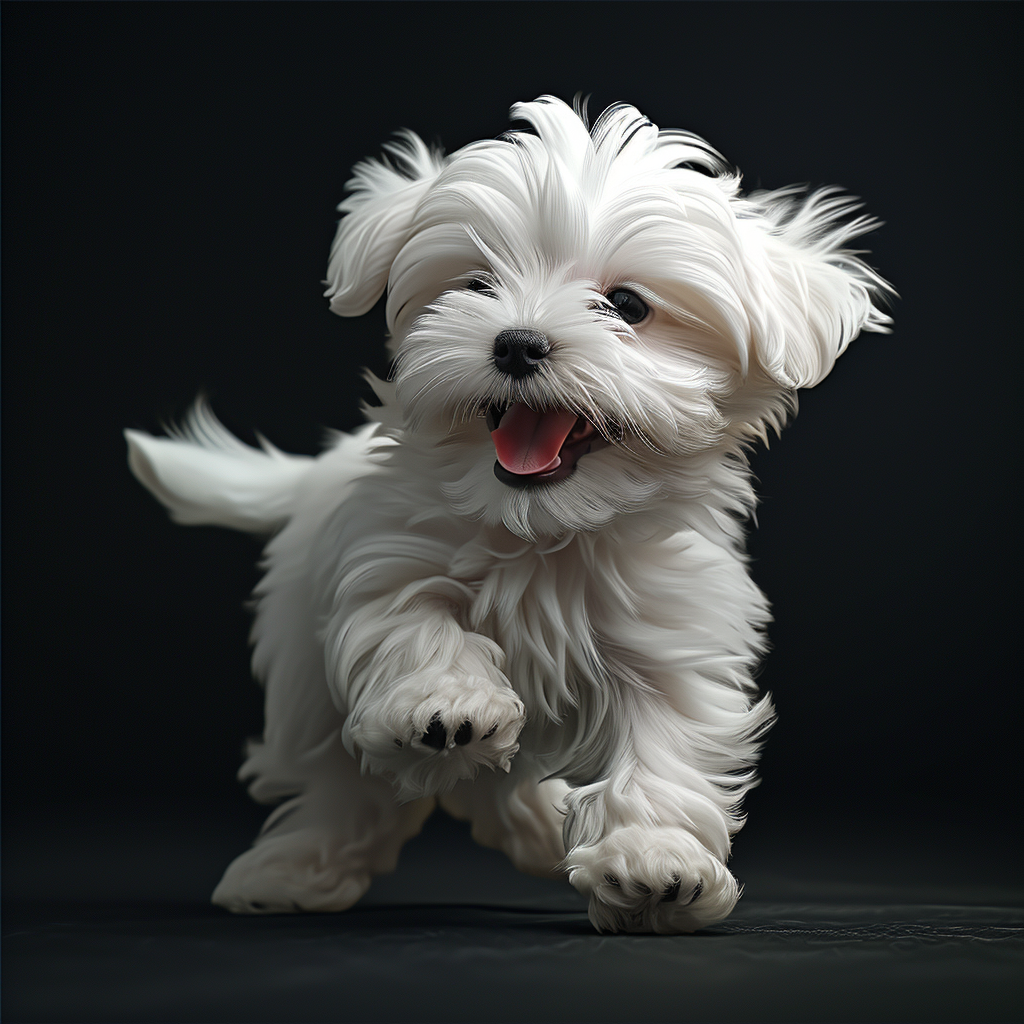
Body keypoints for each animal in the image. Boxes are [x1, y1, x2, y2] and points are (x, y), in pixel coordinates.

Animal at [128, 97, 892, 937]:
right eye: (477, 283)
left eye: (628, 306)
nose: (518, 343)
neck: (543, 530)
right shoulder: (383, 555)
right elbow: (412, 621)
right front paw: (447, 702)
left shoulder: (672, 634)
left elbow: (665, 745)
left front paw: (655, 861)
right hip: (301, 657)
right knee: (337, 776)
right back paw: (297, 867)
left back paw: (538, 829)